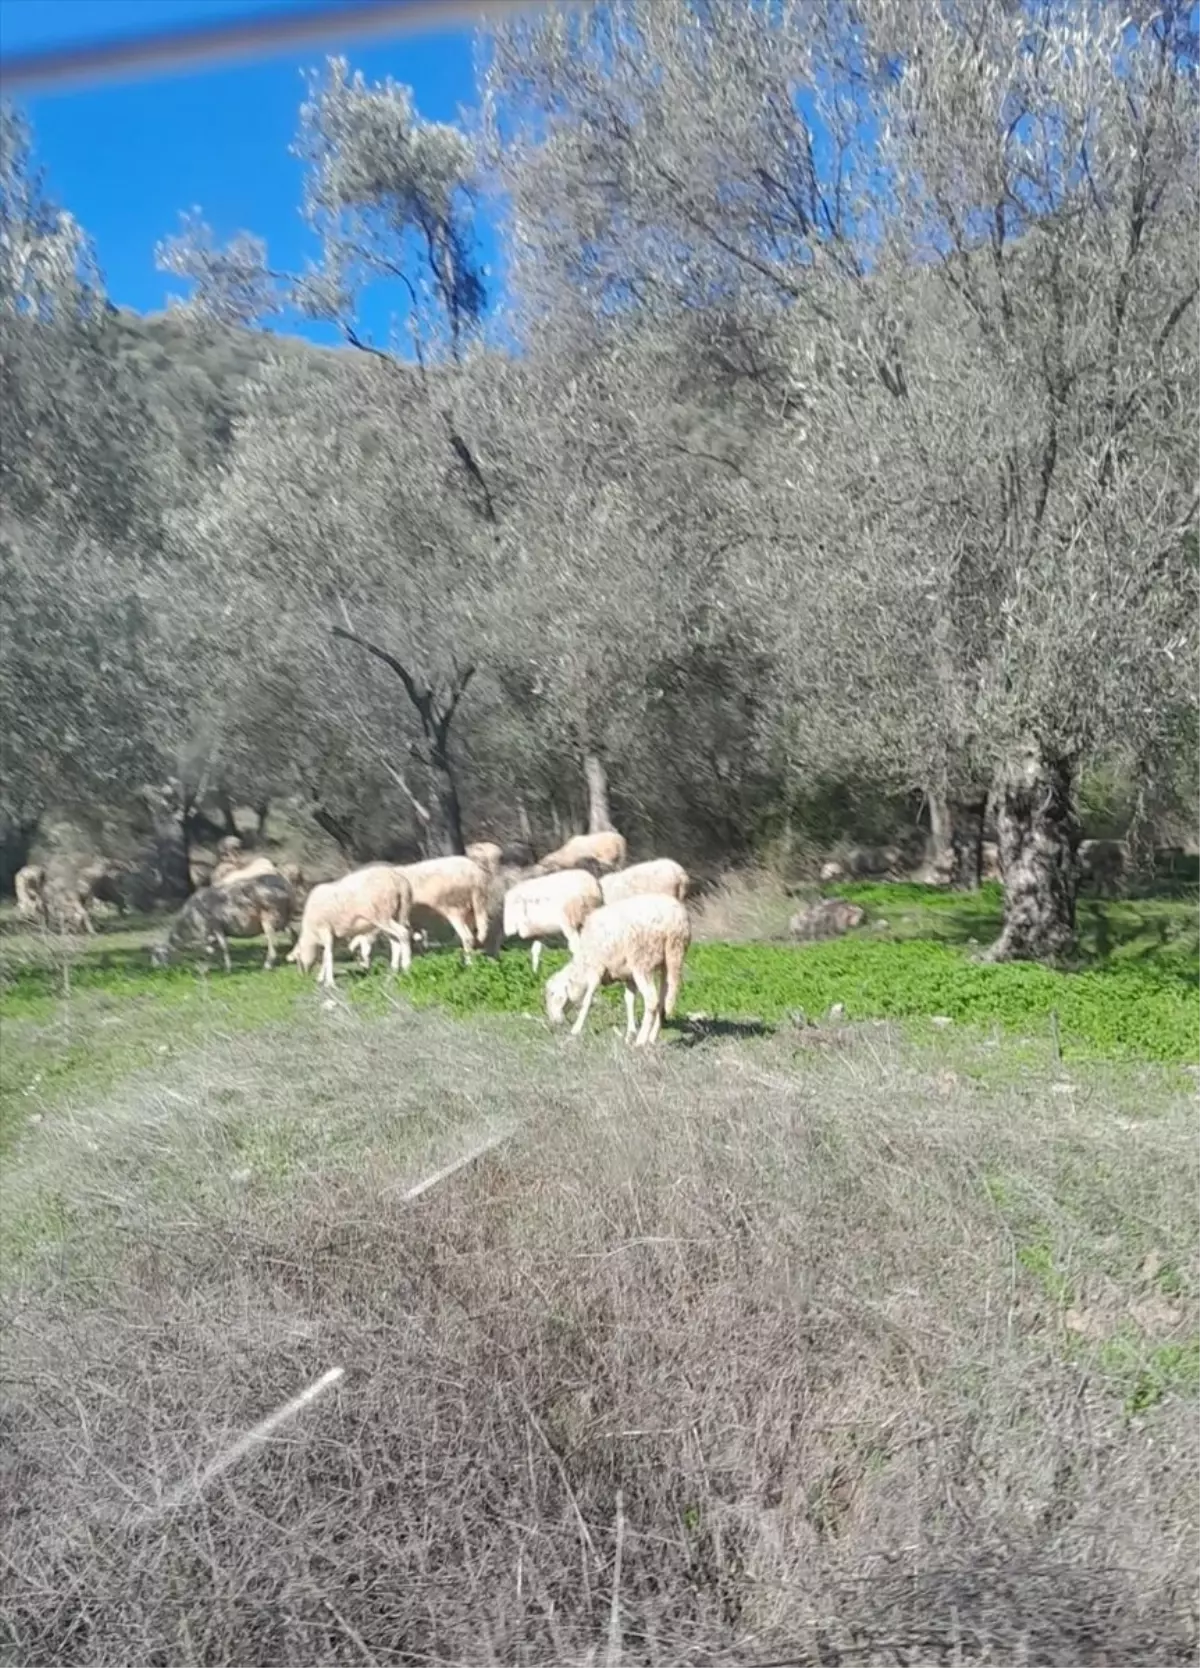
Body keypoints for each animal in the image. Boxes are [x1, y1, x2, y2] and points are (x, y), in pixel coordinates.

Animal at [150, 874, 295, 974]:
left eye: (158, 955)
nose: (155, 969)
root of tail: (283, 883)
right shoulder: (212, 933)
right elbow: (214, 949)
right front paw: (215, 967)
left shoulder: (213, 927)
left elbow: (216, 948)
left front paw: (222, 969)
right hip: (284, 917)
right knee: (293, 934)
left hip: (269, 918)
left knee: (273, 943)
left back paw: (267, 965)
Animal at [547, 900, 694, 1040]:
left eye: (552, 994)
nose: (553, 1022)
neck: (582, 966)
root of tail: (673, 920)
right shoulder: (629, 976)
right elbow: (629, 1000)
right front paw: (630, 1032)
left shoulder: (596, 968)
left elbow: (587, 999)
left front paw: (576, 1029)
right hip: (673, 957)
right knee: (664, 1001)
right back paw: (651, 1039)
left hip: (642, 960)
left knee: (652, 1000)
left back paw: (641, 1041)